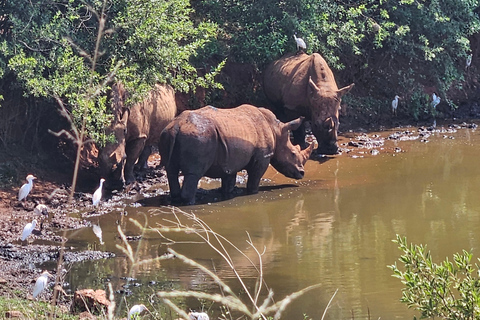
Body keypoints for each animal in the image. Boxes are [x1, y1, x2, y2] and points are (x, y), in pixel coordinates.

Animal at [159, 105, 314, 205]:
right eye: (293, 154)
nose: (302, 173)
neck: (276, 130)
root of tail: (177, 125)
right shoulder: (262, 157)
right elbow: (254, 178)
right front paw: (253, 193)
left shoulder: (231, 158)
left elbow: (229, 179)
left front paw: (228, 193)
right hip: (199, 137)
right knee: (194, 173)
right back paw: (190, 203)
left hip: (167, 133)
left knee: (171, 170)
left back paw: (176, 199)